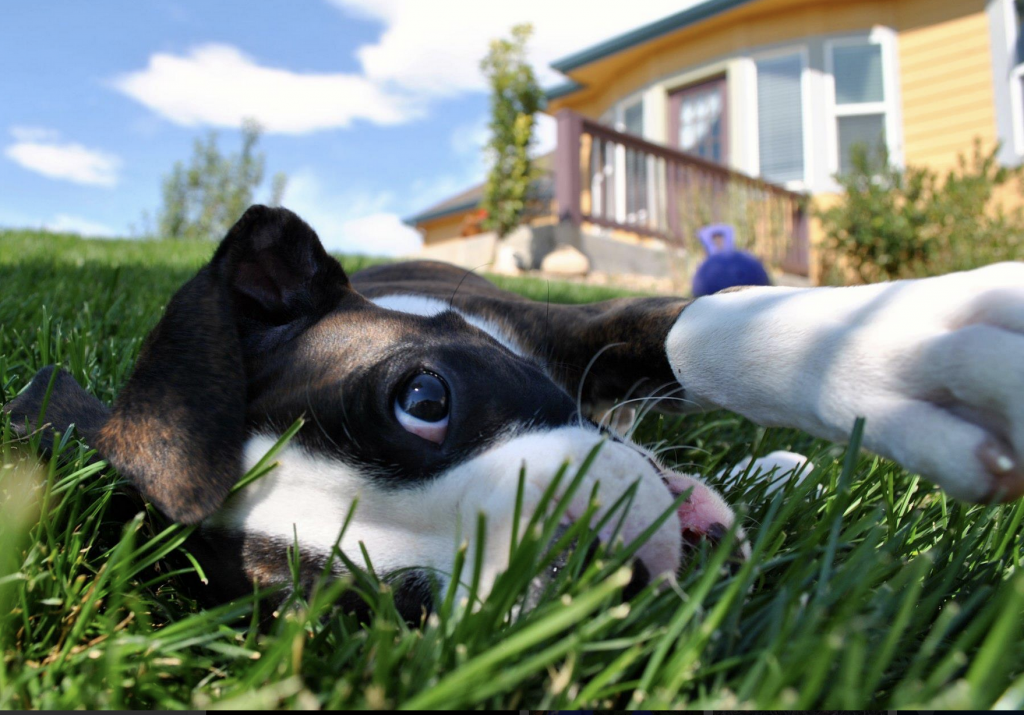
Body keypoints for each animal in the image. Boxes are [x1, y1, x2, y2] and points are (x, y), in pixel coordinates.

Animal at [2, 205, 1024, 614]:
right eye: (381, 606)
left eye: (423, 397)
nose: (583, 571)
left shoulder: (580, 324)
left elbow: (706, 335)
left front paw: (908, 362)